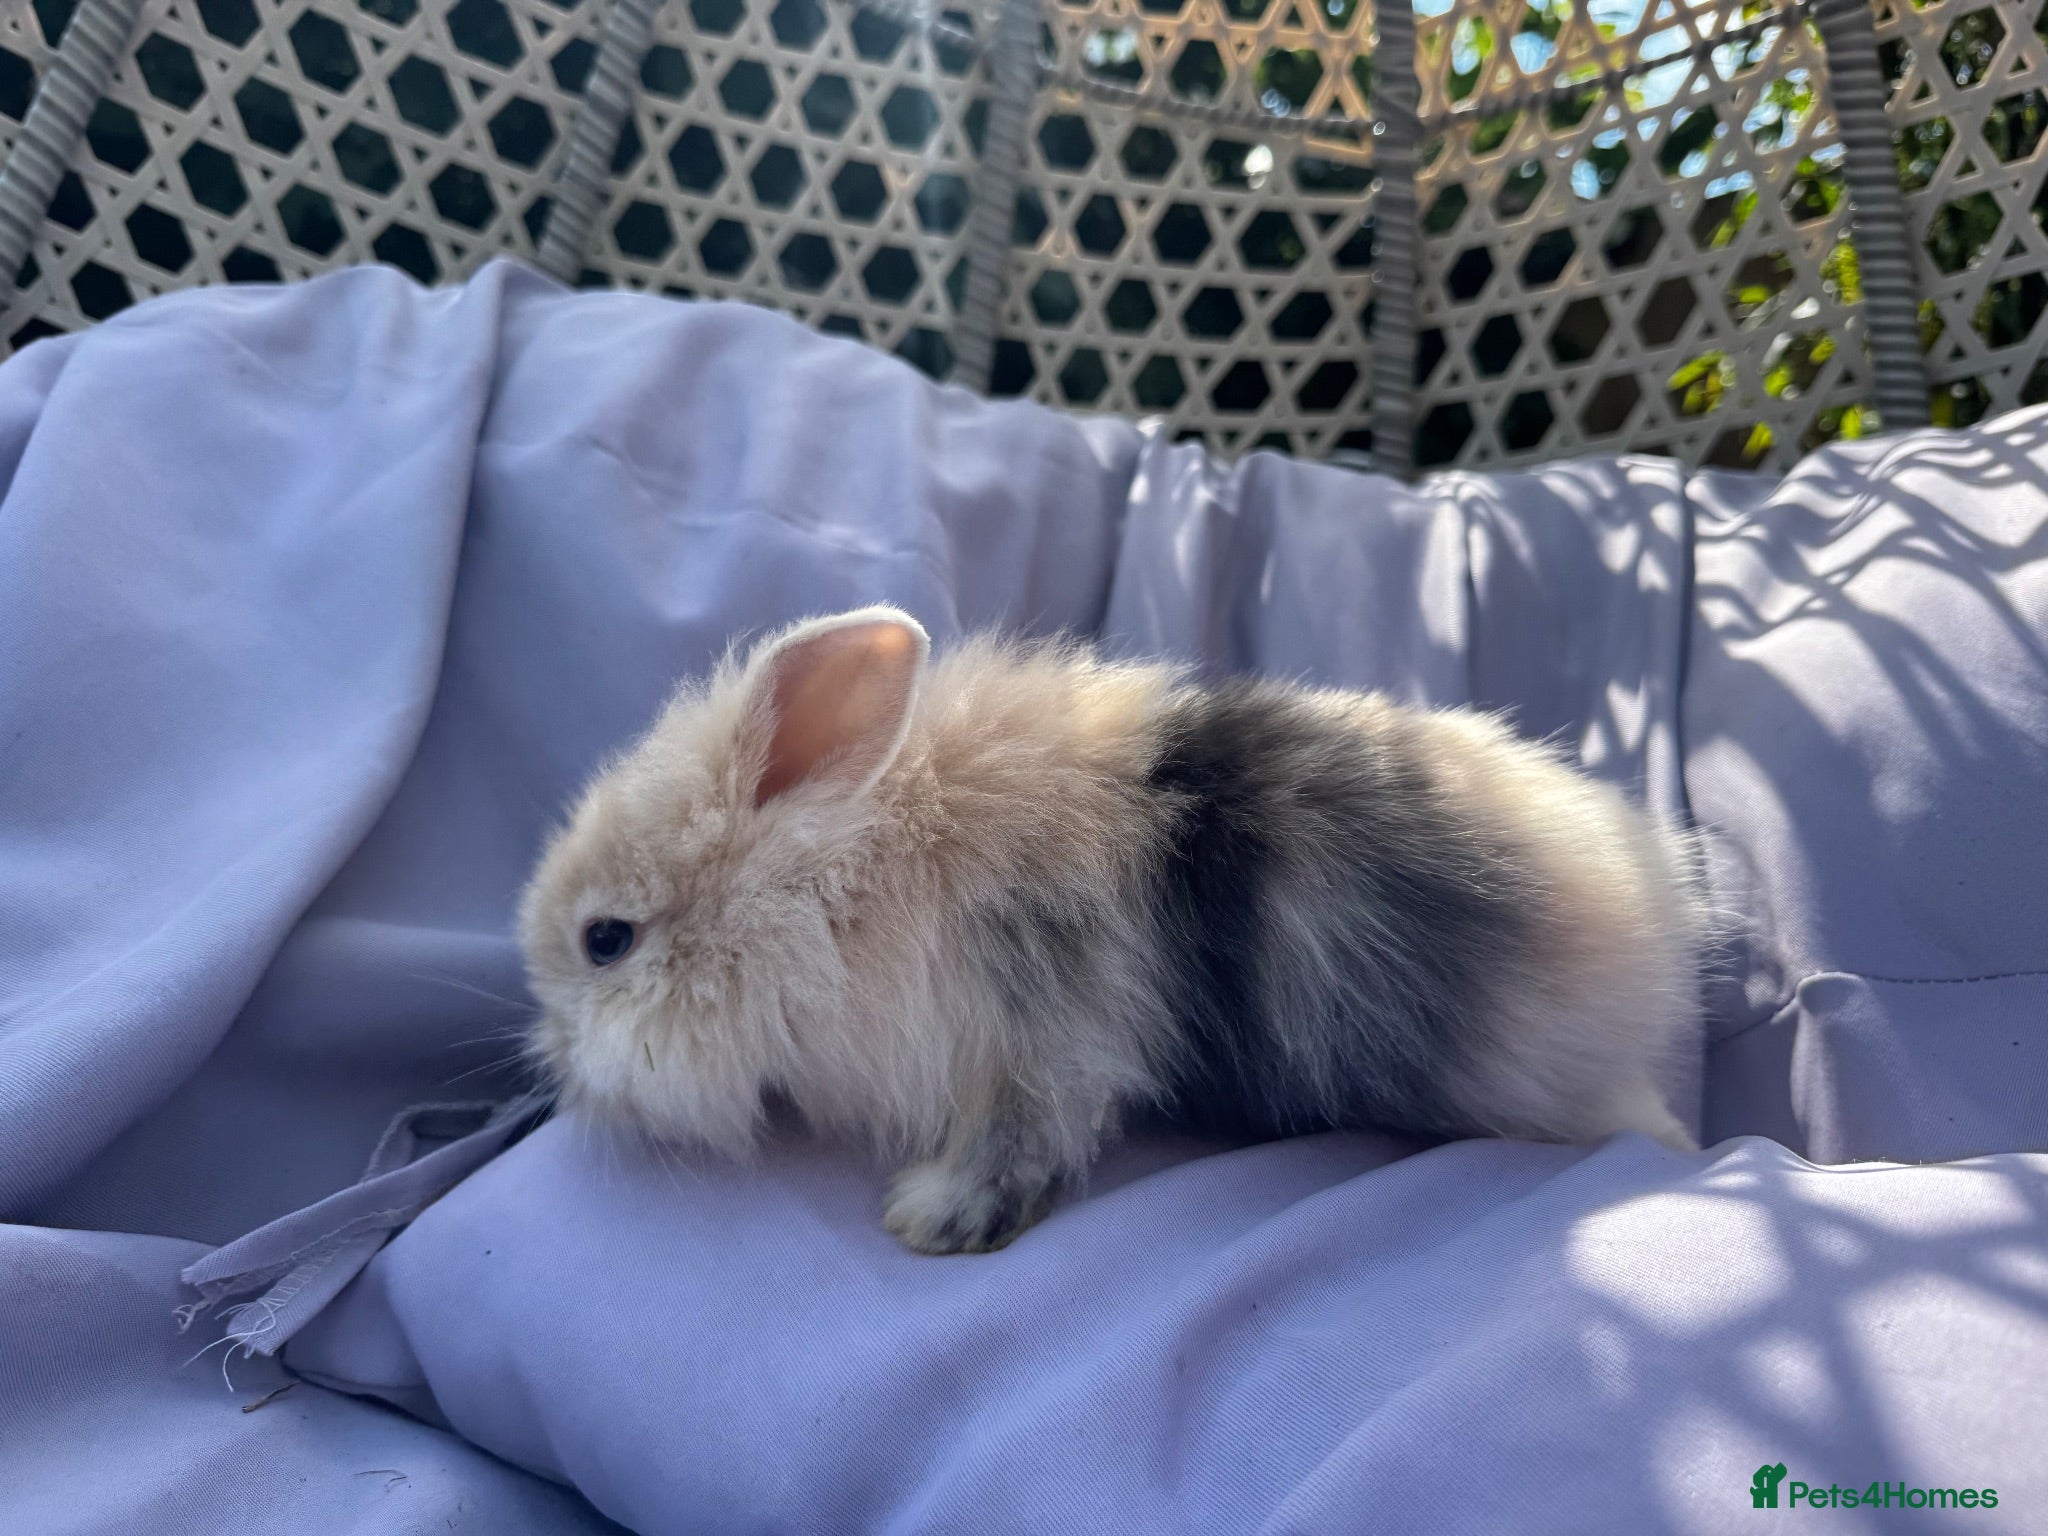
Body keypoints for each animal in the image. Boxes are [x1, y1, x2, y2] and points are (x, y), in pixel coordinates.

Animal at [519, 605, 1707, 1255]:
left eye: (606, 940)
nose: (557, 1064)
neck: (838, 893)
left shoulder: (1034, 1047)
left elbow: (1016, 1147)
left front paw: (927, 1221)